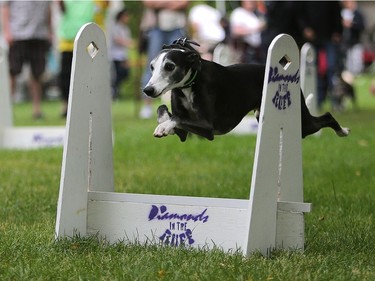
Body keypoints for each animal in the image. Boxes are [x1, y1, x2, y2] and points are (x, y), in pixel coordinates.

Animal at [144, 38, 350, 141]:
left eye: (169, 66)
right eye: (152, 67)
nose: (148, 90)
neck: (191, 84)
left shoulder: (208, 128)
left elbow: (178, 118)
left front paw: (163, 126)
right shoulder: (185, 133)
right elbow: (164, 110)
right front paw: (165, 125)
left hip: (303, 123)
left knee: (326, 117)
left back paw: (343, 131)